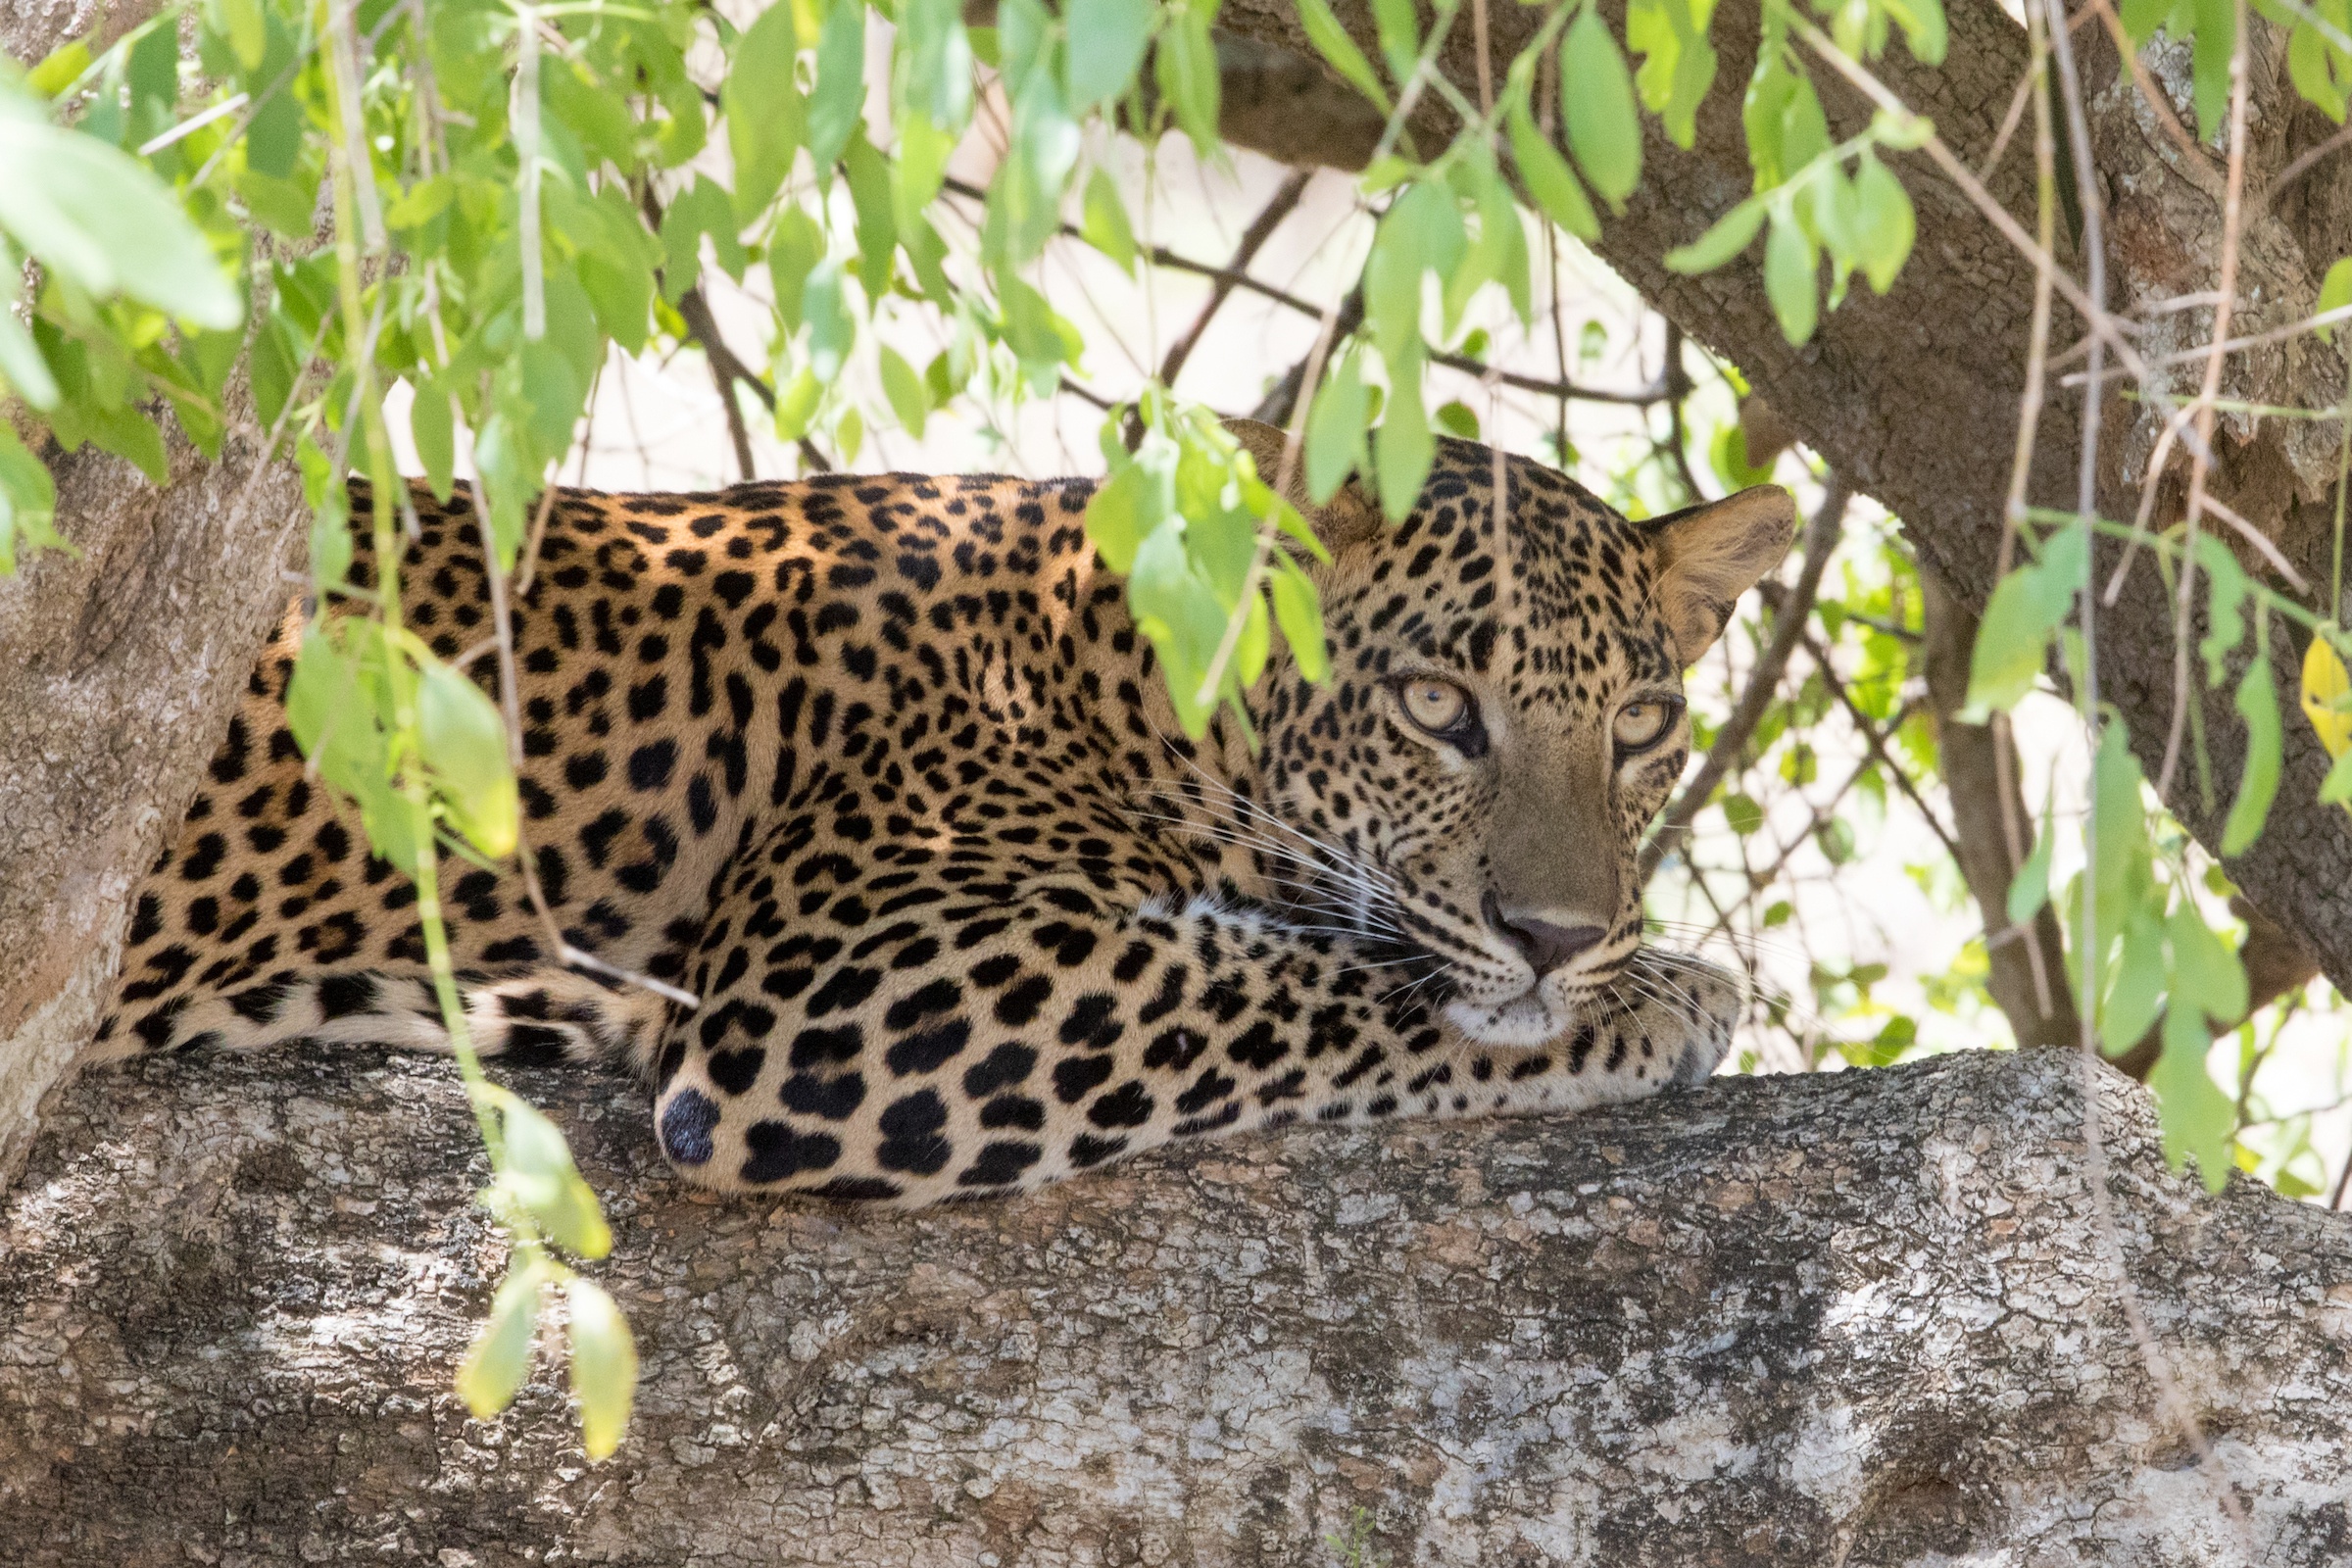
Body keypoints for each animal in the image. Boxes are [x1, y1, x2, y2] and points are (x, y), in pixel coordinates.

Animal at [91, 422, 1794, 1207]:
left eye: (1642, 729)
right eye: (1440, 706)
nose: (1561, 937)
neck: (1120, 671)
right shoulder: (846, 988)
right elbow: (1285, 980)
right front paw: (1658, 994)